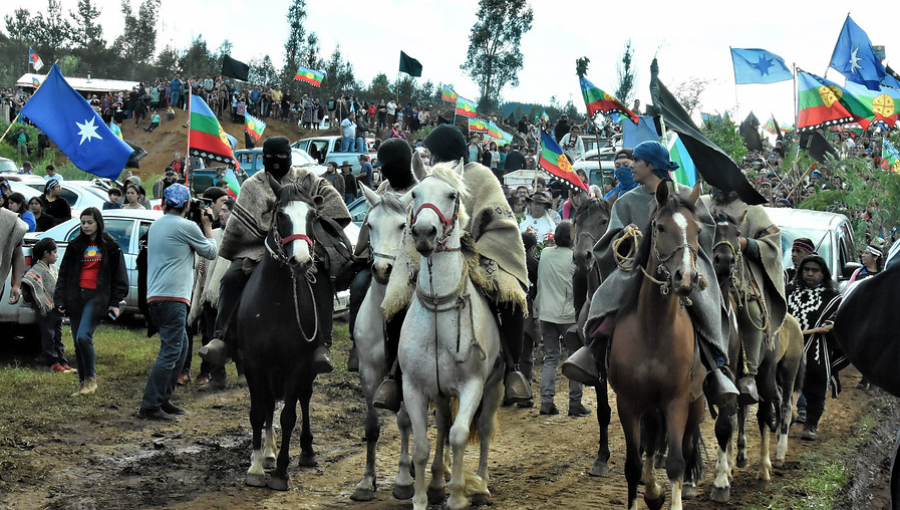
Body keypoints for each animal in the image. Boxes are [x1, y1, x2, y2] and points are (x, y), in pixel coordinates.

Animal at [398, 160, 502, 510]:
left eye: (452, 195)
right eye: (414, 193)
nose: (424, 233)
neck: (438, 313)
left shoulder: (472, 385)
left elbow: (459, 436)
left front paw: (457, 495)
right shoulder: (414, 388)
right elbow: (421, 444)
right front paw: (420, 498)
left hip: (494, 385)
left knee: (483, 428)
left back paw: (480, 484)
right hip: (441, 393)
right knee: (442, 423)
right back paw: (436, 482)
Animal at [608, 181, 708, 508]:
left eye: (698, 230)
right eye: (661, 227)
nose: (686, 277)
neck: (653, 330)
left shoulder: (676, 399)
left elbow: (676, 461)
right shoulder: (628, 403)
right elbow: (632, 465)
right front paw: (649, 491)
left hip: (695, 402)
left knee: (686, 447)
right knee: (651, 444)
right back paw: (652, 488)